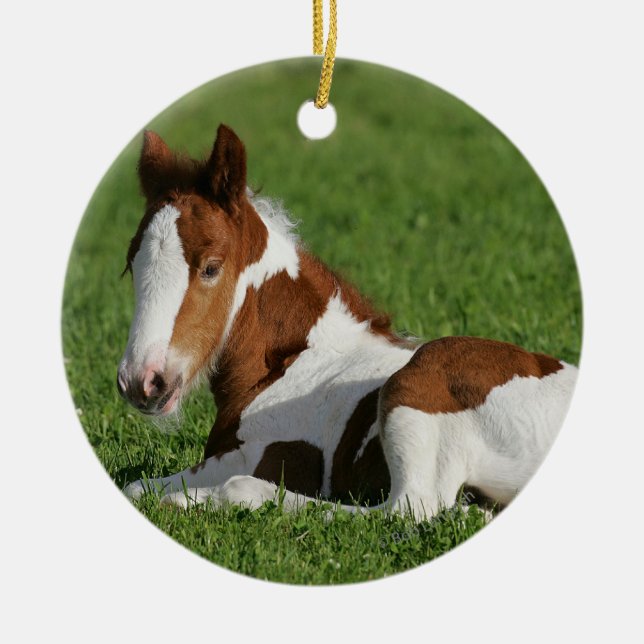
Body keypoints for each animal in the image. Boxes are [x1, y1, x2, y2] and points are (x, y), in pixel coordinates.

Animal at [118, 124, 578, 519]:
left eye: (211, 268)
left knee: (407, 509)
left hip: (419, 382)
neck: (295, 362)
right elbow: (136, 487)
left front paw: (194, 496)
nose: (142, 382)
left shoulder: (262, 454)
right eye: (130, 265)